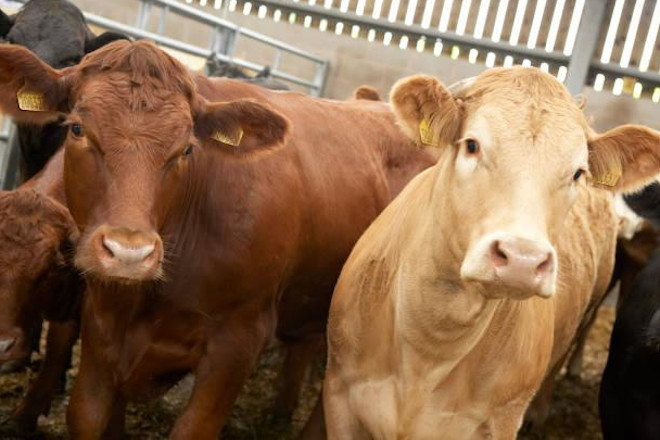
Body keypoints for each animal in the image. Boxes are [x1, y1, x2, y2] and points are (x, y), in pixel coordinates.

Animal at [322, 67, 660, 439]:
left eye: (578, 173)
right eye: (472, 145)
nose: (523, 260)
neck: (429, 344)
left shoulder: (502, 419)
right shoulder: (339, 394)